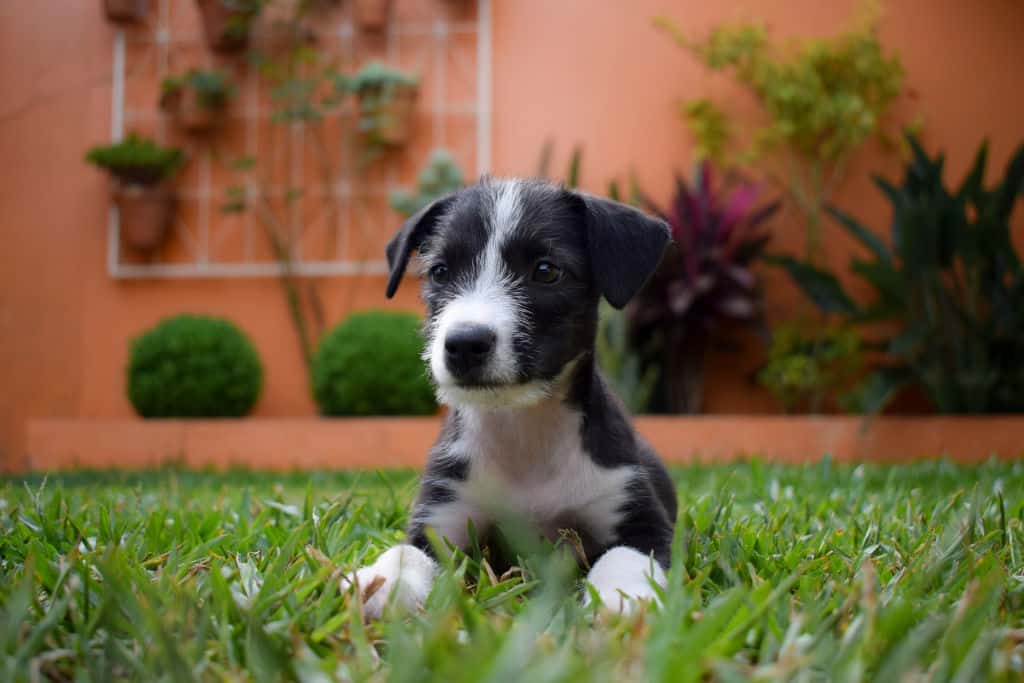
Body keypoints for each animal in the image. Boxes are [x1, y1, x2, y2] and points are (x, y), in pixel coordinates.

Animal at [352, 179, 679, 618]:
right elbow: (405, 553)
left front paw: (623, 598)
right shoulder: (442, 517)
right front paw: (377, 585)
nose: (465, 343)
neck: (521, 429)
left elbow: (625, 555)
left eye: (545, 270)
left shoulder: (639, 517)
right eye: (440, 271)